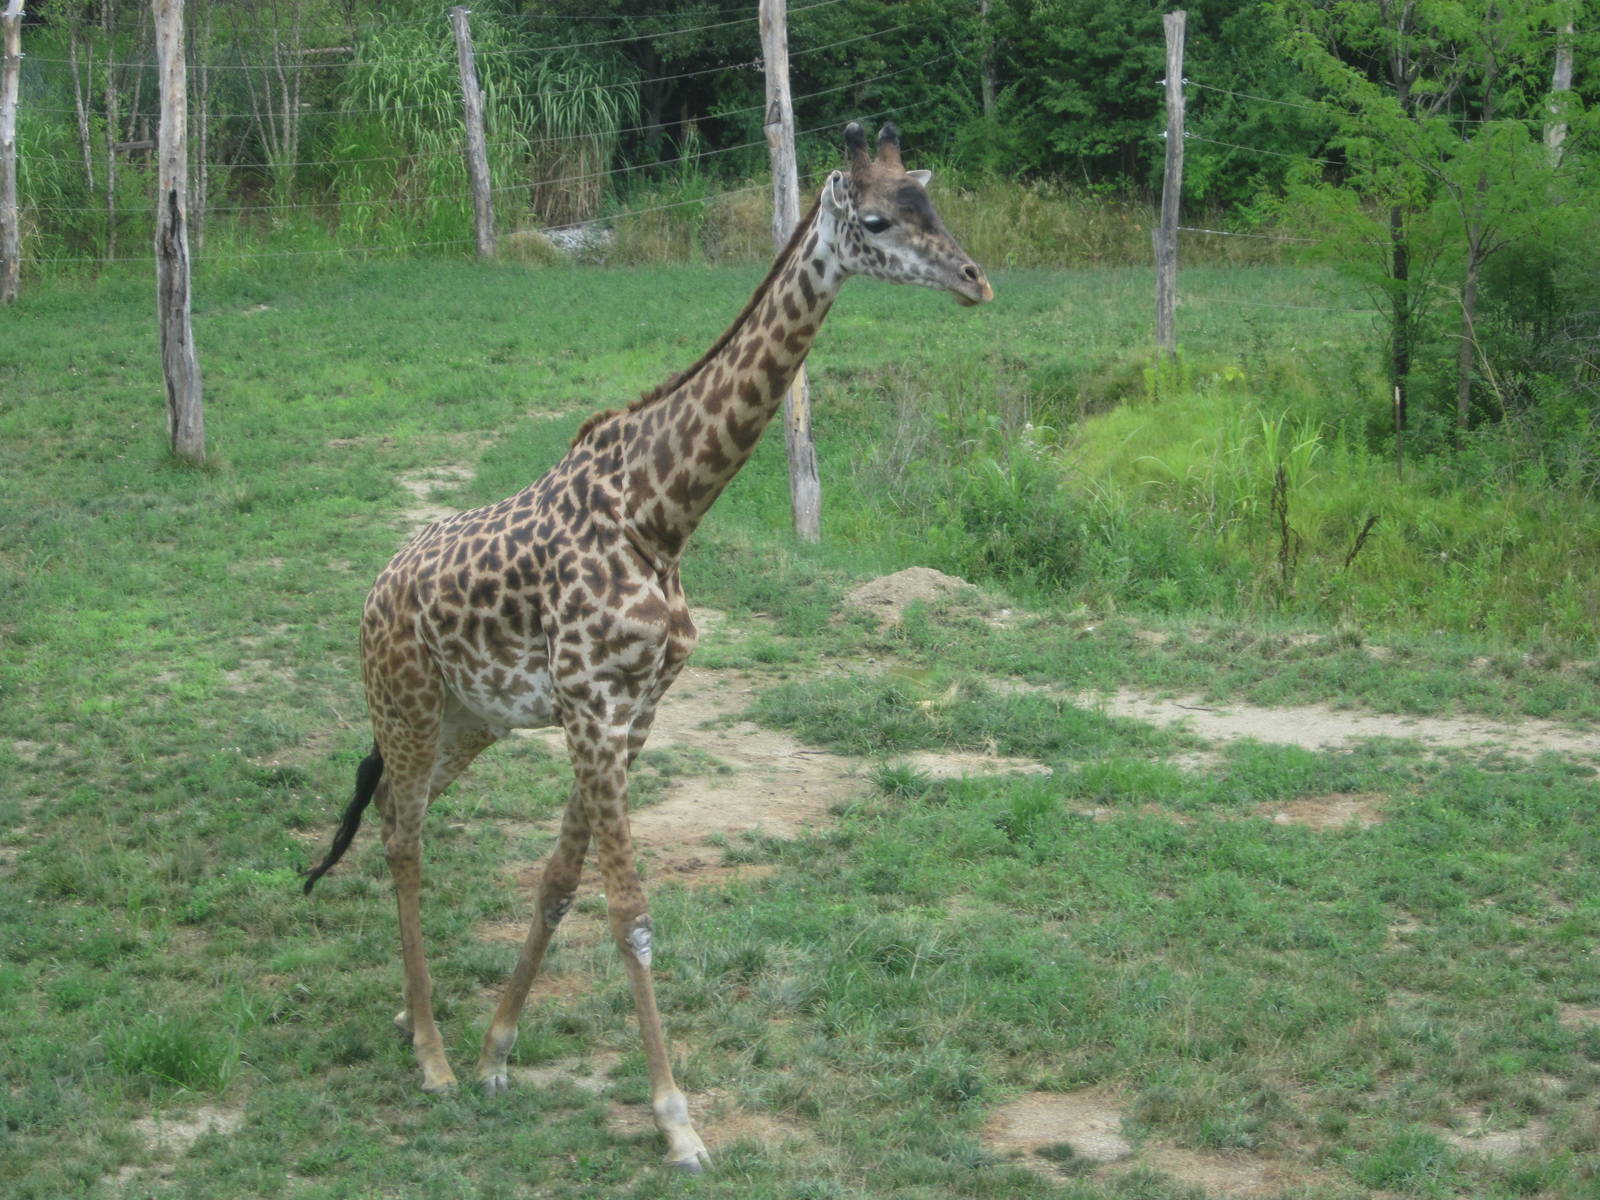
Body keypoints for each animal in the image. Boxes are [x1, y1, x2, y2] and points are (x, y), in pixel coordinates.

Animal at [302, 121, 992, 1172]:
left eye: (932, 203)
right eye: (876, 220)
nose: (974, 279)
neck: (662, 514)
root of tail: (377, 591)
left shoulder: (635, 710)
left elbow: (558, 882)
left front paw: (500, 1049)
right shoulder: (591, 704)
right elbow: (629, 912)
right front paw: (676, 1120)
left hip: (465, 722)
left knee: (388, 810)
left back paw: (414, 1020)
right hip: (409, 704)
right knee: (404, 835)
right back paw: (430, 1057)